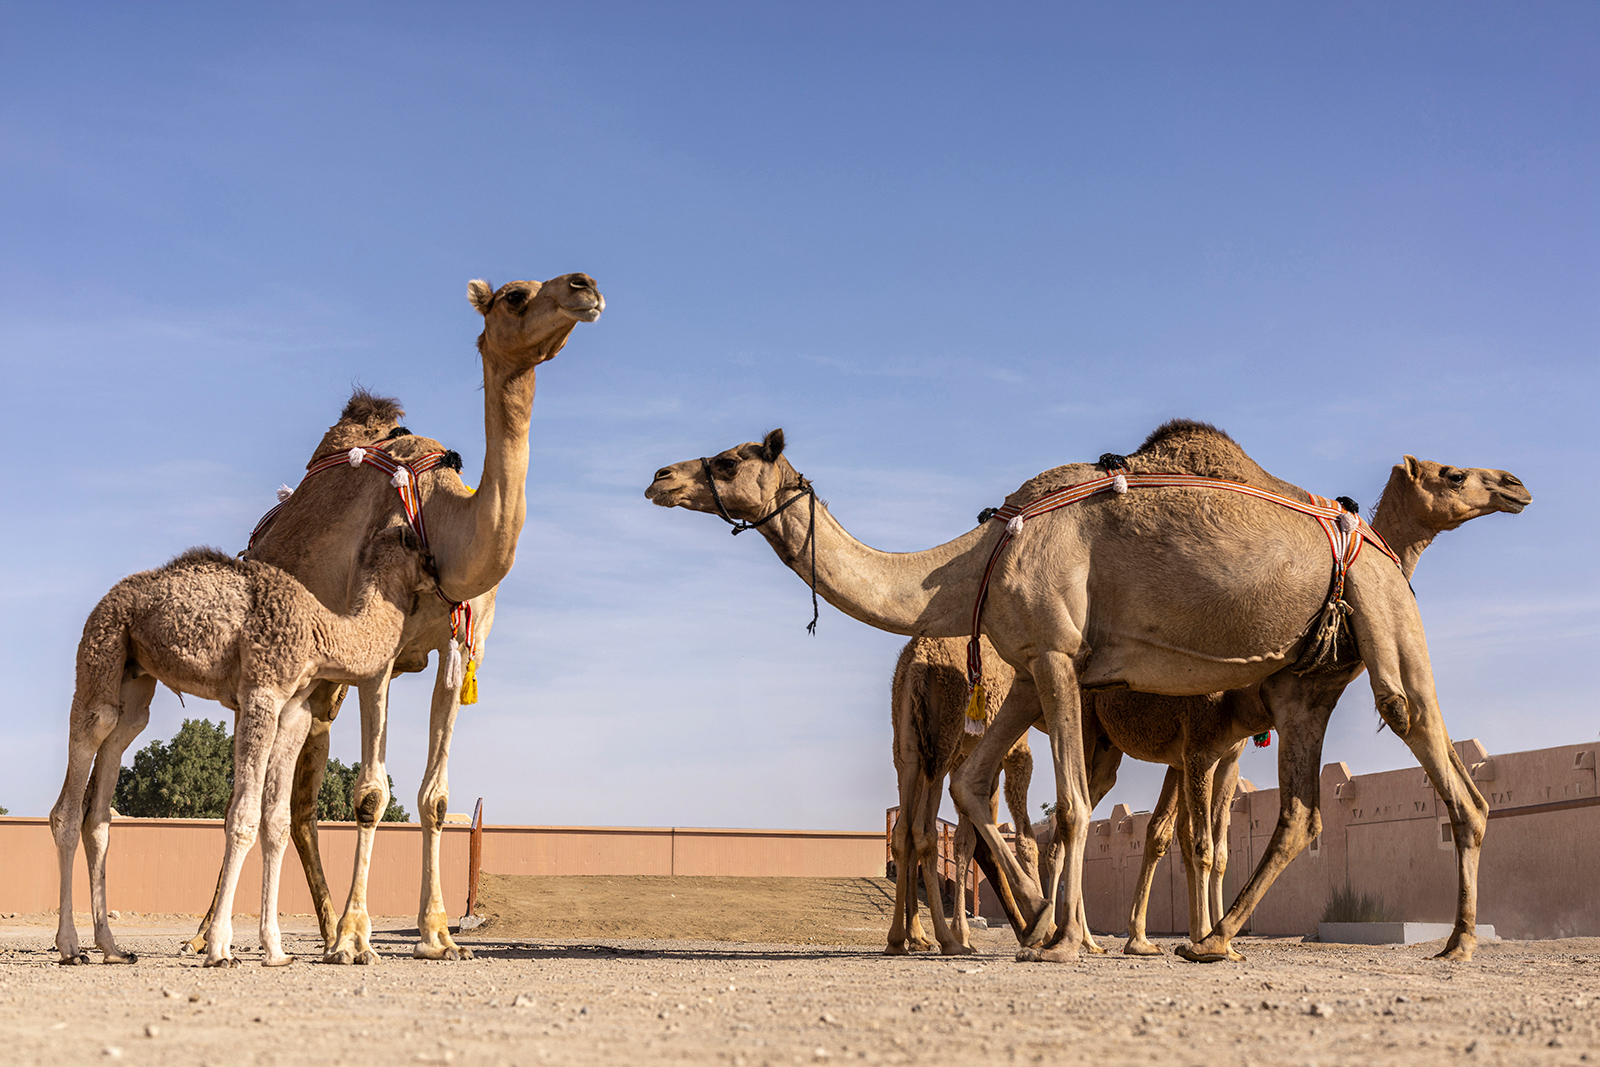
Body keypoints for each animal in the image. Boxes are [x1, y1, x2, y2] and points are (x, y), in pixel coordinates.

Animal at [50, 529, 427, 966]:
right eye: (417, 548)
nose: (437, 572)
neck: (318, 631)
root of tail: (106, 600)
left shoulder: (294, 711)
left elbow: (277, 822)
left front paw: (276, 950)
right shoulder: (261, 693)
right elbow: (243, 818)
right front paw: (219, 949)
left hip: (136, 677)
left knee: (108, 778)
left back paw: (112, 948)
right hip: (102, 646)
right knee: (80, 770)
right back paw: (70, 946)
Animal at [189, 273, 602, 965]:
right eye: (514, 295)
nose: (585, 286)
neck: (440, 526)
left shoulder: (458, 652)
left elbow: (434, 800)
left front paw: (437, 936)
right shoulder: (375, 659)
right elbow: (369, 795)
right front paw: (359, 938)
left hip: (318, 686)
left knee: (297, 804)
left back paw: (316, 928)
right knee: (270, 794)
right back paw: (216, 936)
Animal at [886, 635, 1039, 956]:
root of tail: (917, 663)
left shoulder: (966, 758)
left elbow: (965, 841)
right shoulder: (1016, 749)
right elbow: (1025, 841)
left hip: (909, 746)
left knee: (903, 831)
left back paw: (905, 939)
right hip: (942, 739)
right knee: (924, 831)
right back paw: (946, 940)